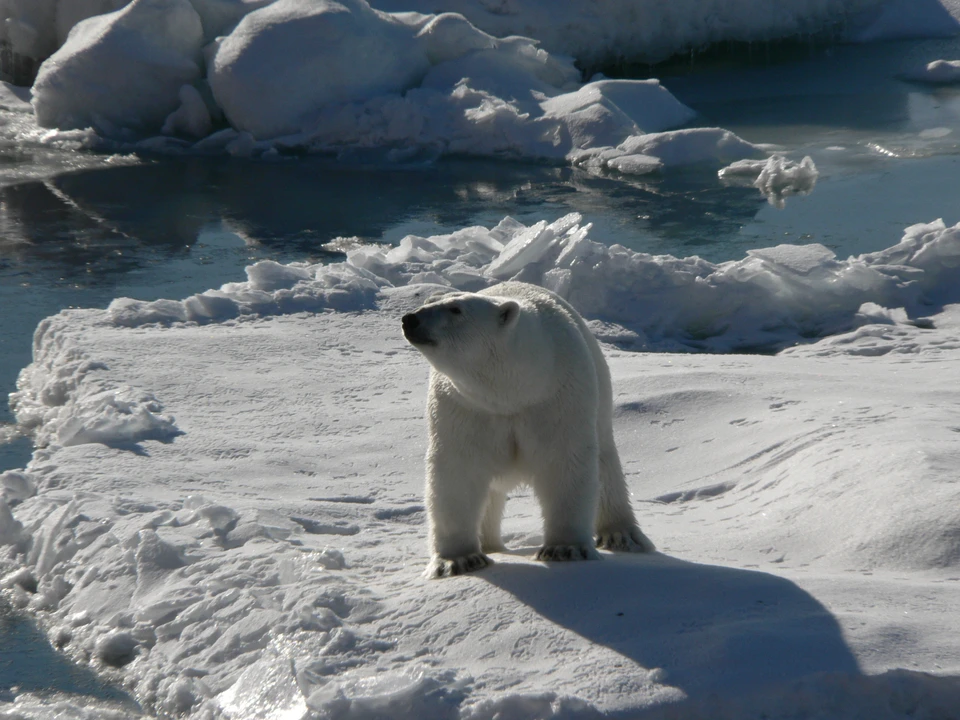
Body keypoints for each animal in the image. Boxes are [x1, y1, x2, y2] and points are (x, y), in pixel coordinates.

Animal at [402, 278, 656, 576]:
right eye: (430, 302)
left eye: (456, 309)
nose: (410, 319)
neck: (514, 391)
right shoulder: (464, 406)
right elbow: (457, 471)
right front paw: (458, 560)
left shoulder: (556, 396)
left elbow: (564, 461)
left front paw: (565, 549)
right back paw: (489, 544)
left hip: (600, 391)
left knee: (606, 462)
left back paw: (621, 534)